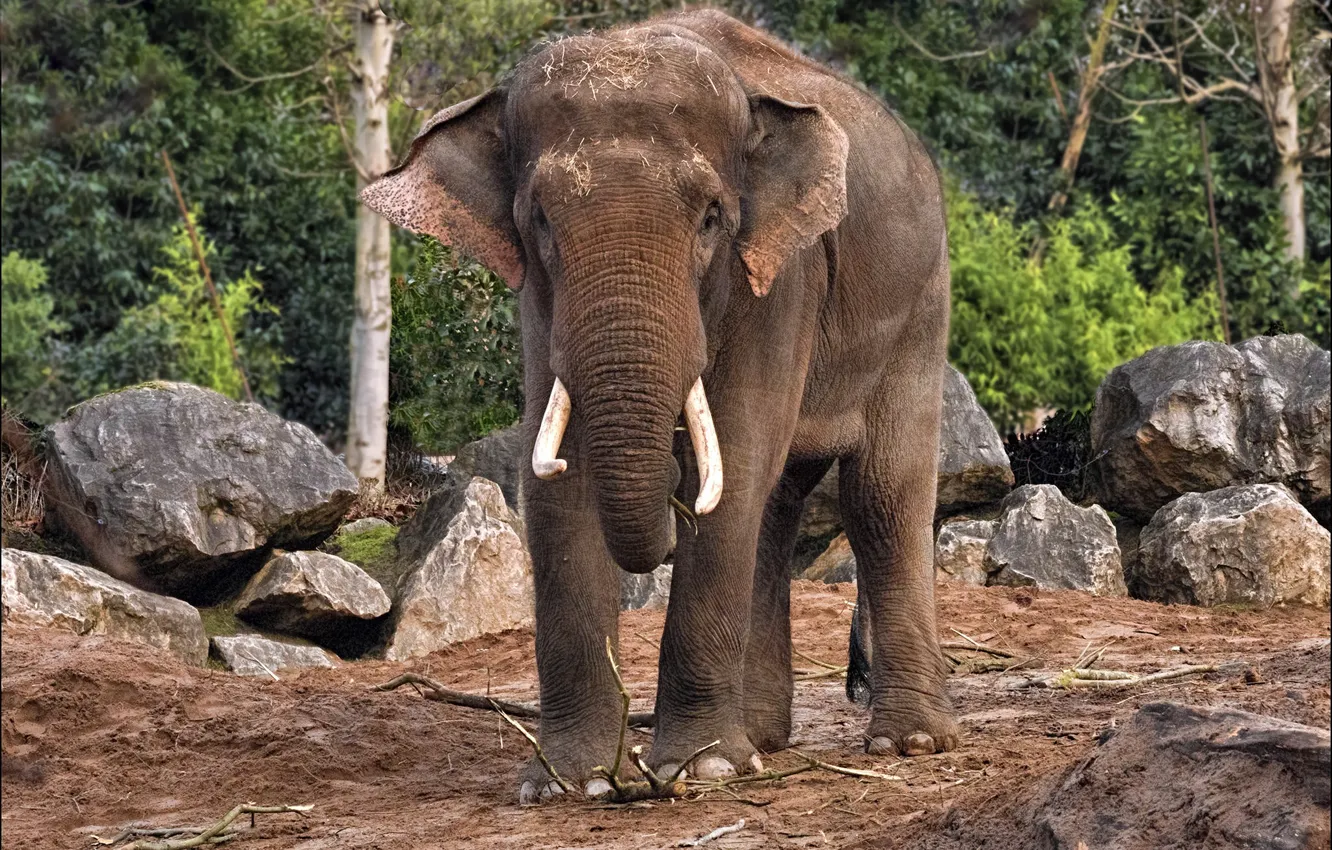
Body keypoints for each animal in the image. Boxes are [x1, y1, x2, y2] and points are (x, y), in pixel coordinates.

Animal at [362, 9, 958, 802]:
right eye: (539, 219)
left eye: (711, 217)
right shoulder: (538, 302)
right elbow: (557, 484)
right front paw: (575, 785)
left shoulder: (779, 273)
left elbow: (735, 460)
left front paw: (700, 770)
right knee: (775, 508)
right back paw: (763, 740)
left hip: (921, 302)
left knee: (879, 495)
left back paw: (908, 743)